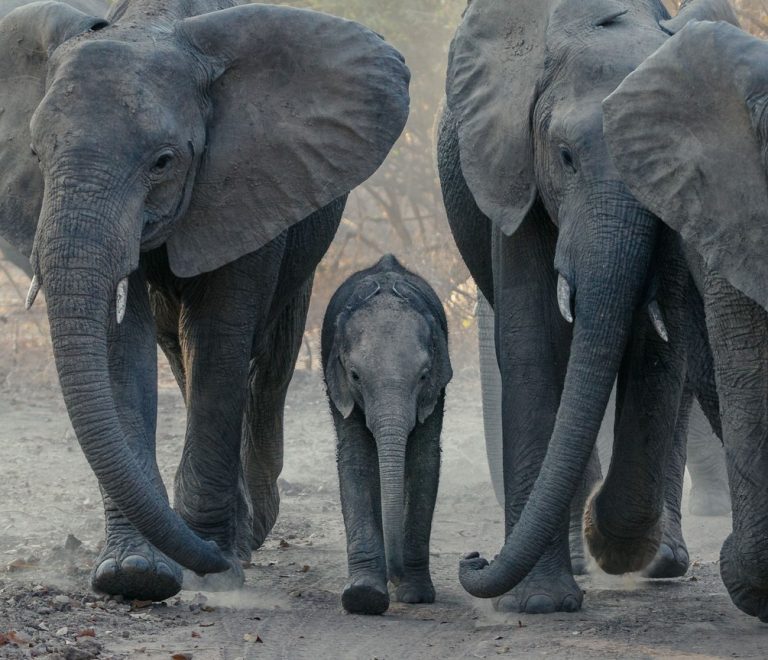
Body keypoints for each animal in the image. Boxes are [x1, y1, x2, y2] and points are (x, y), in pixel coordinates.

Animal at [0, 0, 409, 601]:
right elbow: (121, 348)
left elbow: (219, 338)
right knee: (181, 354)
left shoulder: (250, 181)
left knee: (267, 365)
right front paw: (134, 573)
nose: (205, 558)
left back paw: (248, 533)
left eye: (163, 161)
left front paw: (209, 567)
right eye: (35, 153)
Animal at [322, 254, 452, 615]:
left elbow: (423, 461)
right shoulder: (340, 388)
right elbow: (355, 460)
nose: (396, 574)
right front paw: (363, 596)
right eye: (355, 375)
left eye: (423, 376)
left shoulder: (436, 389)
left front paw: (416, 595)